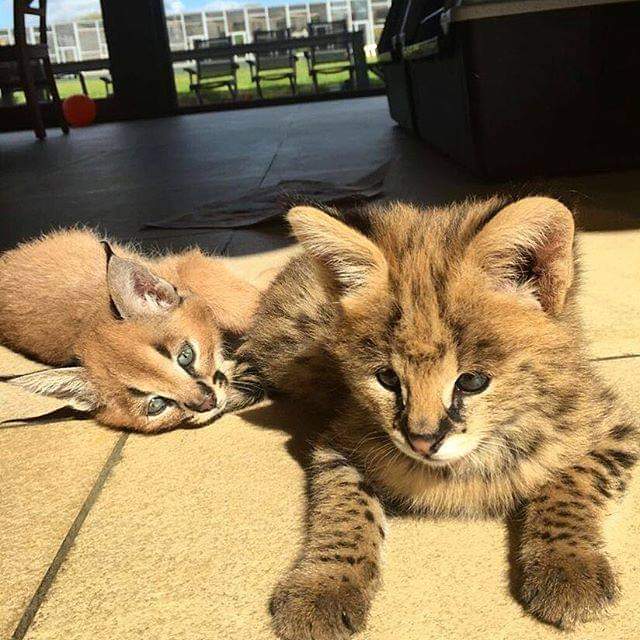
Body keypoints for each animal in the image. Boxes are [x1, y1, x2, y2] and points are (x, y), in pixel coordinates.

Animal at [236, 198, 640, 636]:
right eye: (388, 378)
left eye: (472, 381)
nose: (422, 441)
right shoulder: (341, 439)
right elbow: (345, 509)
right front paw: (323, 586)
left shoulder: (615, 427)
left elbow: (570, 485)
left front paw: (568, 567)